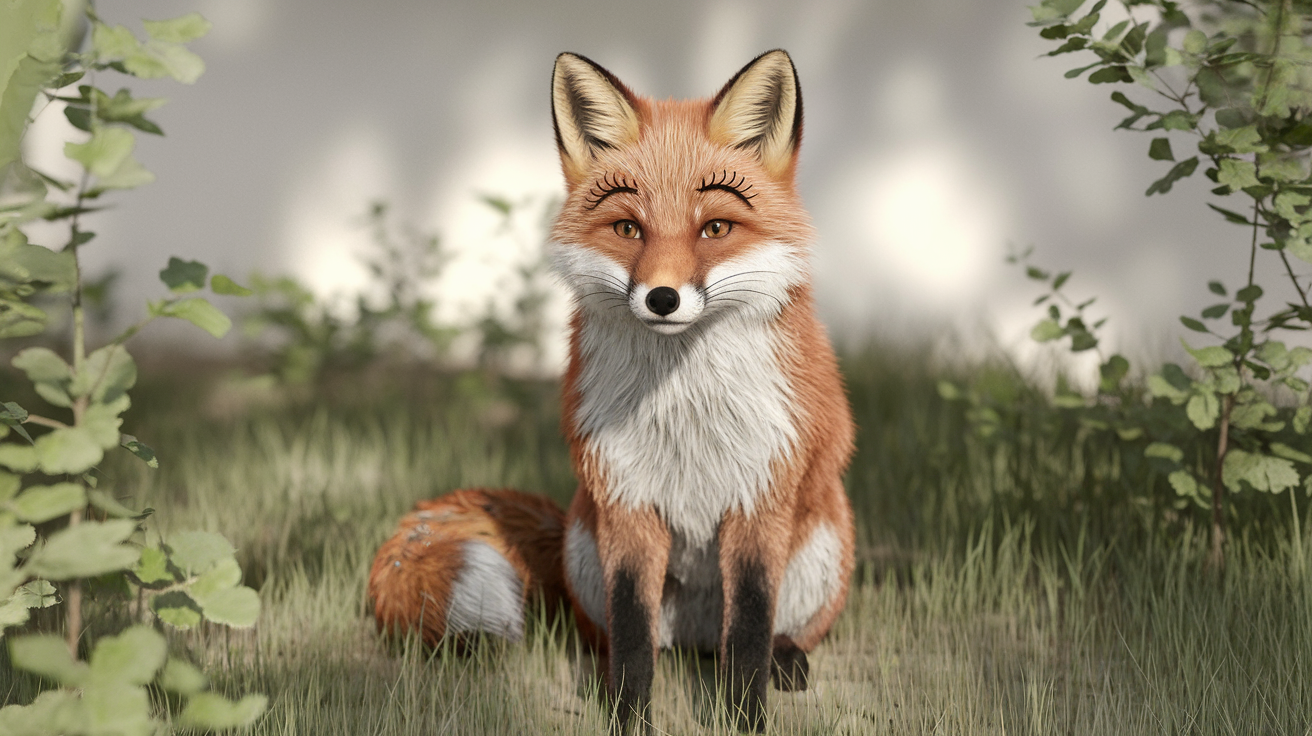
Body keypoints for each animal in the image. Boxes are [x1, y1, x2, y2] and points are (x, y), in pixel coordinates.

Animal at [368, 49, 855, 734]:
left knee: (767, 636)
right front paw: (627, 715)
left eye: (716, 228)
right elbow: (630, 637)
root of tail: (695, 637)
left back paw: (787, 661)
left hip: (824, 544)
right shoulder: (625, 499)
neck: (684, 410)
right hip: (586, 546)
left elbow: (751, 633)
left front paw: (744, 717)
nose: (662, 298)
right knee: (624, 637)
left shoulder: (760, 498)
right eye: (627, 227)